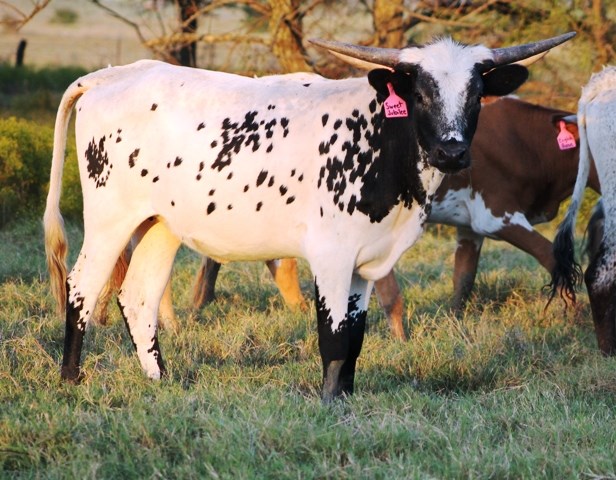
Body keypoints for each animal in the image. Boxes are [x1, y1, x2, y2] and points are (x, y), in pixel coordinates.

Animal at [44, 33, 575, 402]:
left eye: (475, 94)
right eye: (420, 94)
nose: (452, 151)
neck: (382, 140)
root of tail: (114, 74)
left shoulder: (365, 261)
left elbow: (356, 338)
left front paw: (347, 397)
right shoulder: (332, 256)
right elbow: (334, 337)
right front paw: (329, 404)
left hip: (161, 224)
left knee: (139, 297)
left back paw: (159, 379)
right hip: (111, 218)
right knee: (82, 285)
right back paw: (71, 379)